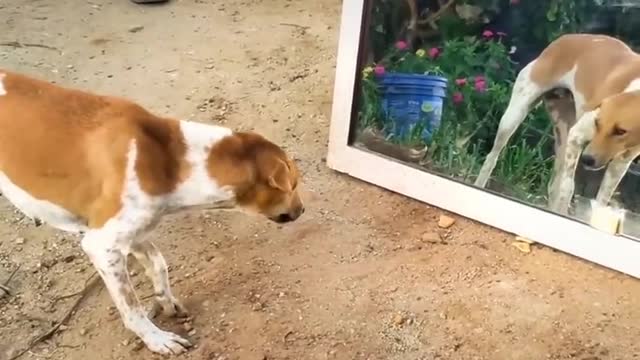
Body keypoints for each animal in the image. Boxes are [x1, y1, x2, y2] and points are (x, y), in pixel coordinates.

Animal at [0, 70, 304, 354]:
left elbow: (158, 264)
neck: (167, 157)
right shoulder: (102, 245)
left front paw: (165, 301)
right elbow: (131, 308)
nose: (302, 210)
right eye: (294, 184)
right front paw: (157, 339)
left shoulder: (136, 231)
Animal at [472, 33, 640, 231]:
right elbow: (568, 188)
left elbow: (600, 202)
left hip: (562, 139)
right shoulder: (577, 137)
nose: (587, 159)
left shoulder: (621, 163)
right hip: (514, 118)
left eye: (621, 131)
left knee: (553, 186)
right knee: (492, 158)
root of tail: (566, 38)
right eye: (597, 123)